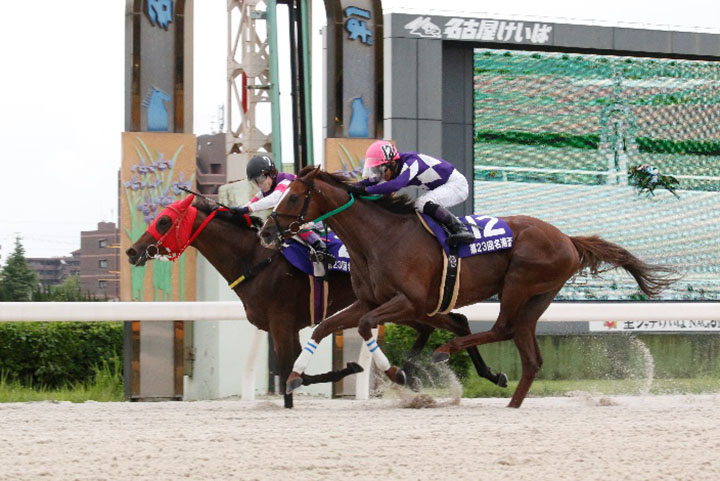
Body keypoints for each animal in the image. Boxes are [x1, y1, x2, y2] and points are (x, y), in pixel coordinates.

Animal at [125, 194, 507, 408]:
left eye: (163, 220)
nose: (132, 251)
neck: (255, 259)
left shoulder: (282, 322)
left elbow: (290, 368)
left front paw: (342, 372)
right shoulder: (281, 326)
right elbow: (296, 368)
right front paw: (349, 370)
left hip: (414, 303)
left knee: (456, 322)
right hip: (409, 306)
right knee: (447, 324)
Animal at [259, 167, 678, 408]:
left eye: (293, 196)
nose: (265, 233)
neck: (381, 238)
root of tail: (567, 239)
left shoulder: (410, 302)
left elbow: (364, 328)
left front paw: (397, 373)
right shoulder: (369, 300)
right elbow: (324, 327)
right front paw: (294, 377)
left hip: (519, 282)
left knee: (502, 328)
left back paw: (448, 352)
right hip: (538, 296)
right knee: (529, 354)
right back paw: (510, 403)